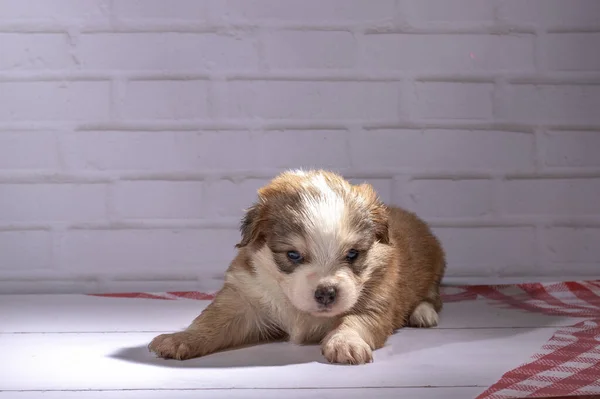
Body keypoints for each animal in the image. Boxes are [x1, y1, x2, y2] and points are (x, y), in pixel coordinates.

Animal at [148, 169, 442, 366]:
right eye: (293, 255)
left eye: (352, 254)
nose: (326, 293)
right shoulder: (244, 297)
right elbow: (212, 321)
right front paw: (181, 339)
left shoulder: (377, 301)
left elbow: (356, 321)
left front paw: (345, 342)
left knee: (433, 297)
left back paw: (423, 313)